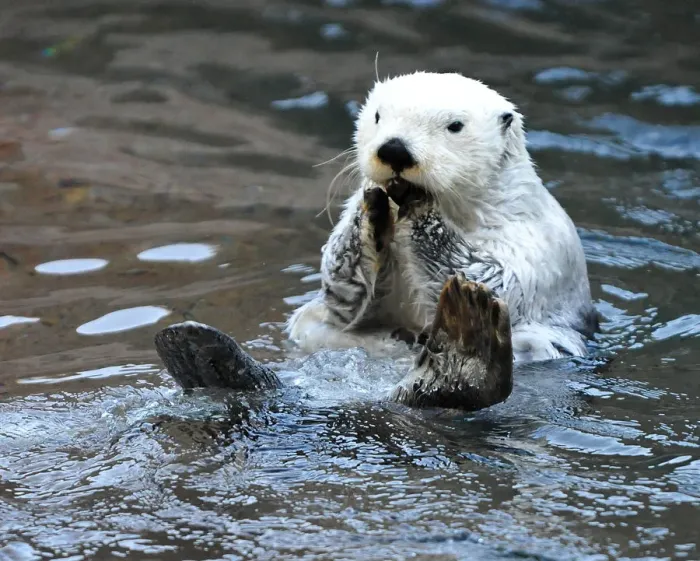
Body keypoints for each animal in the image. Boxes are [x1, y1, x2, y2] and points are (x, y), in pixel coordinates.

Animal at [154, 71, 598, 412]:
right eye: (379, 116)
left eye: (455, 126)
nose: (395, 149)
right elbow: (342, 286)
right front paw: (371, 206)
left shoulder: (533, 239)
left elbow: (499, 279)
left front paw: (421, 208)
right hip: (313, 331)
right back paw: (197, 353)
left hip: (538, 347)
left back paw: (466, 334)